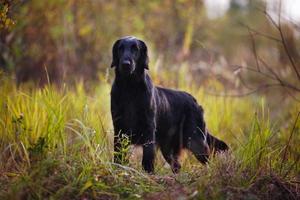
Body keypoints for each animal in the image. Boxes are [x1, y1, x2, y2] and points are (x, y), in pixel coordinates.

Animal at [110, 36, 227, 173]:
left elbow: (147, 158)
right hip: (169, 148)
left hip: (196, 141)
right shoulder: (119, 128)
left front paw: (148, 174)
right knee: (177, 165)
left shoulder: (149, 129)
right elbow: (118, 155)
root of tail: (195, 101)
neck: (130, 89)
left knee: (209, 161)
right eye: (120, 48)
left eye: (135, 49)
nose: (125, 64)